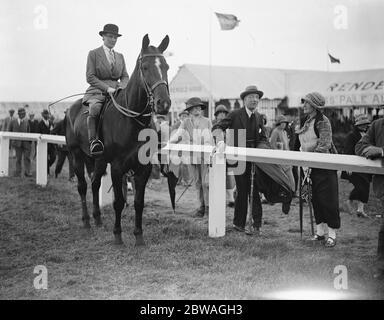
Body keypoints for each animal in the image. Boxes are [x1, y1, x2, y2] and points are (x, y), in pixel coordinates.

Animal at [65, 34, 170, 245]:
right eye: (145, 67)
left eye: (166, 66)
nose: (164, 103)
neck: (132, 121)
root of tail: (71, 109)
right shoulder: (117, 166)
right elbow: (119, 202)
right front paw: (118, 235)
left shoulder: (144, 168)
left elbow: (139, 202)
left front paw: (139, 236)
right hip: (77, 155)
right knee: (82, 187)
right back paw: (87, 221)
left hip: (98, 160)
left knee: (95, 183)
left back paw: (97, 219)